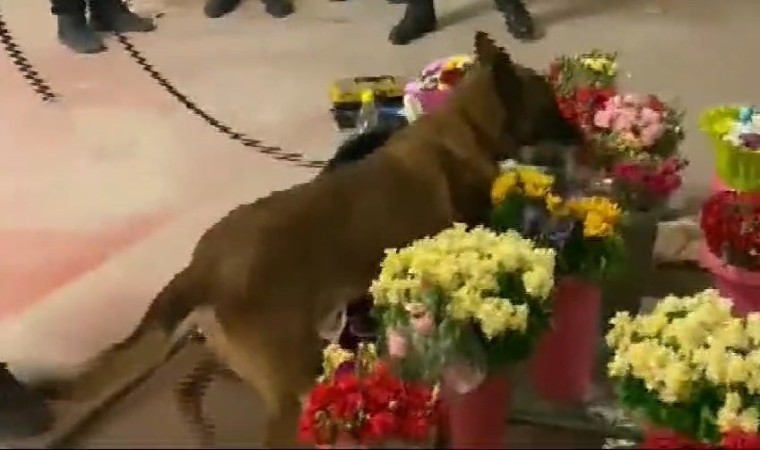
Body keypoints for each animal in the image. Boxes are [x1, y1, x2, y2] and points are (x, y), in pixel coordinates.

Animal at [43, 31, 560, 446]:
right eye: (550, 105)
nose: (575, 129)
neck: (463, 127)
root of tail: (200, 265)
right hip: (292, 381)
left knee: (187, 391)